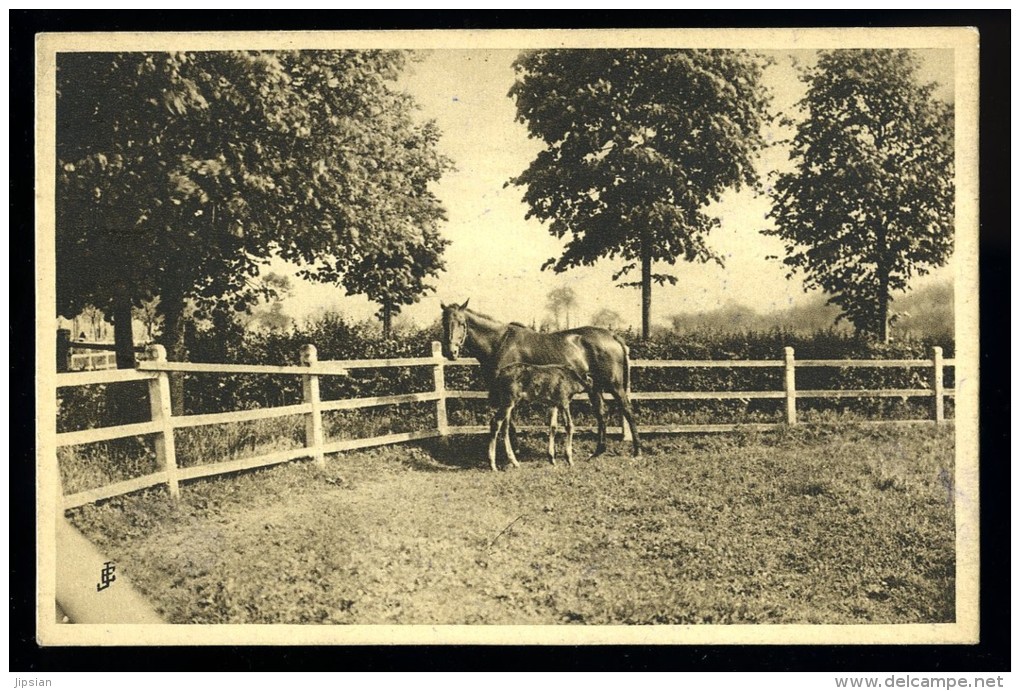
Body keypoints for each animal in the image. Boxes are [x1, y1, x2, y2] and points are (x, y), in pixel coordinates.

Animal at [436, 300, 636, 455]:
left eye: (462, 322)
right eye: (444, 323)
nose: (451, 352)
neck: (499, 343)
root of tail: (612, 336)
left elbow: (509, 422)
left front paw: (514, 452)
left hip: (615, 386)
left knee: (627, 410)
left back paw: (637, 450)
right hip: (595, 387)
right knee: (601, 413)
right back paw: (598, 451)